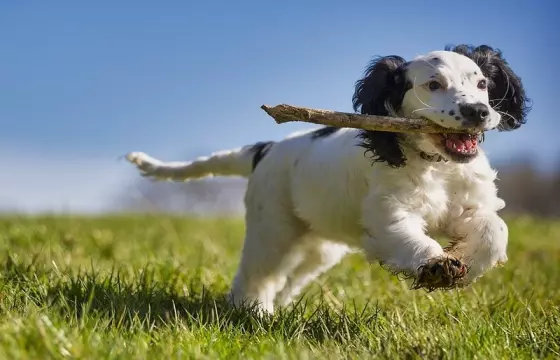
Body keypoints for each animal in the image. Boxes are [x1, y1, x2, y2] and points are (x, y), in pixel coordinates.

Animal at [126, 45, 528, 314]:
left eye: (482, 83)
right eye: (433, 85)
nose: (479, 112)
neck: (436, 165)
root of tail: (266, 148)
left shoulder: (471, 205)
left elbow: (495, 231)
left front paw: (465, 263)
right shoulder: (388, 214)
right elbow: (409, 238)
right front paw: (435, 266)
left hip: (319, 247)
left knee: (289, 279)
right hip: (273, 229)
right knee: (256, 275)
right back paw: (254, 312)